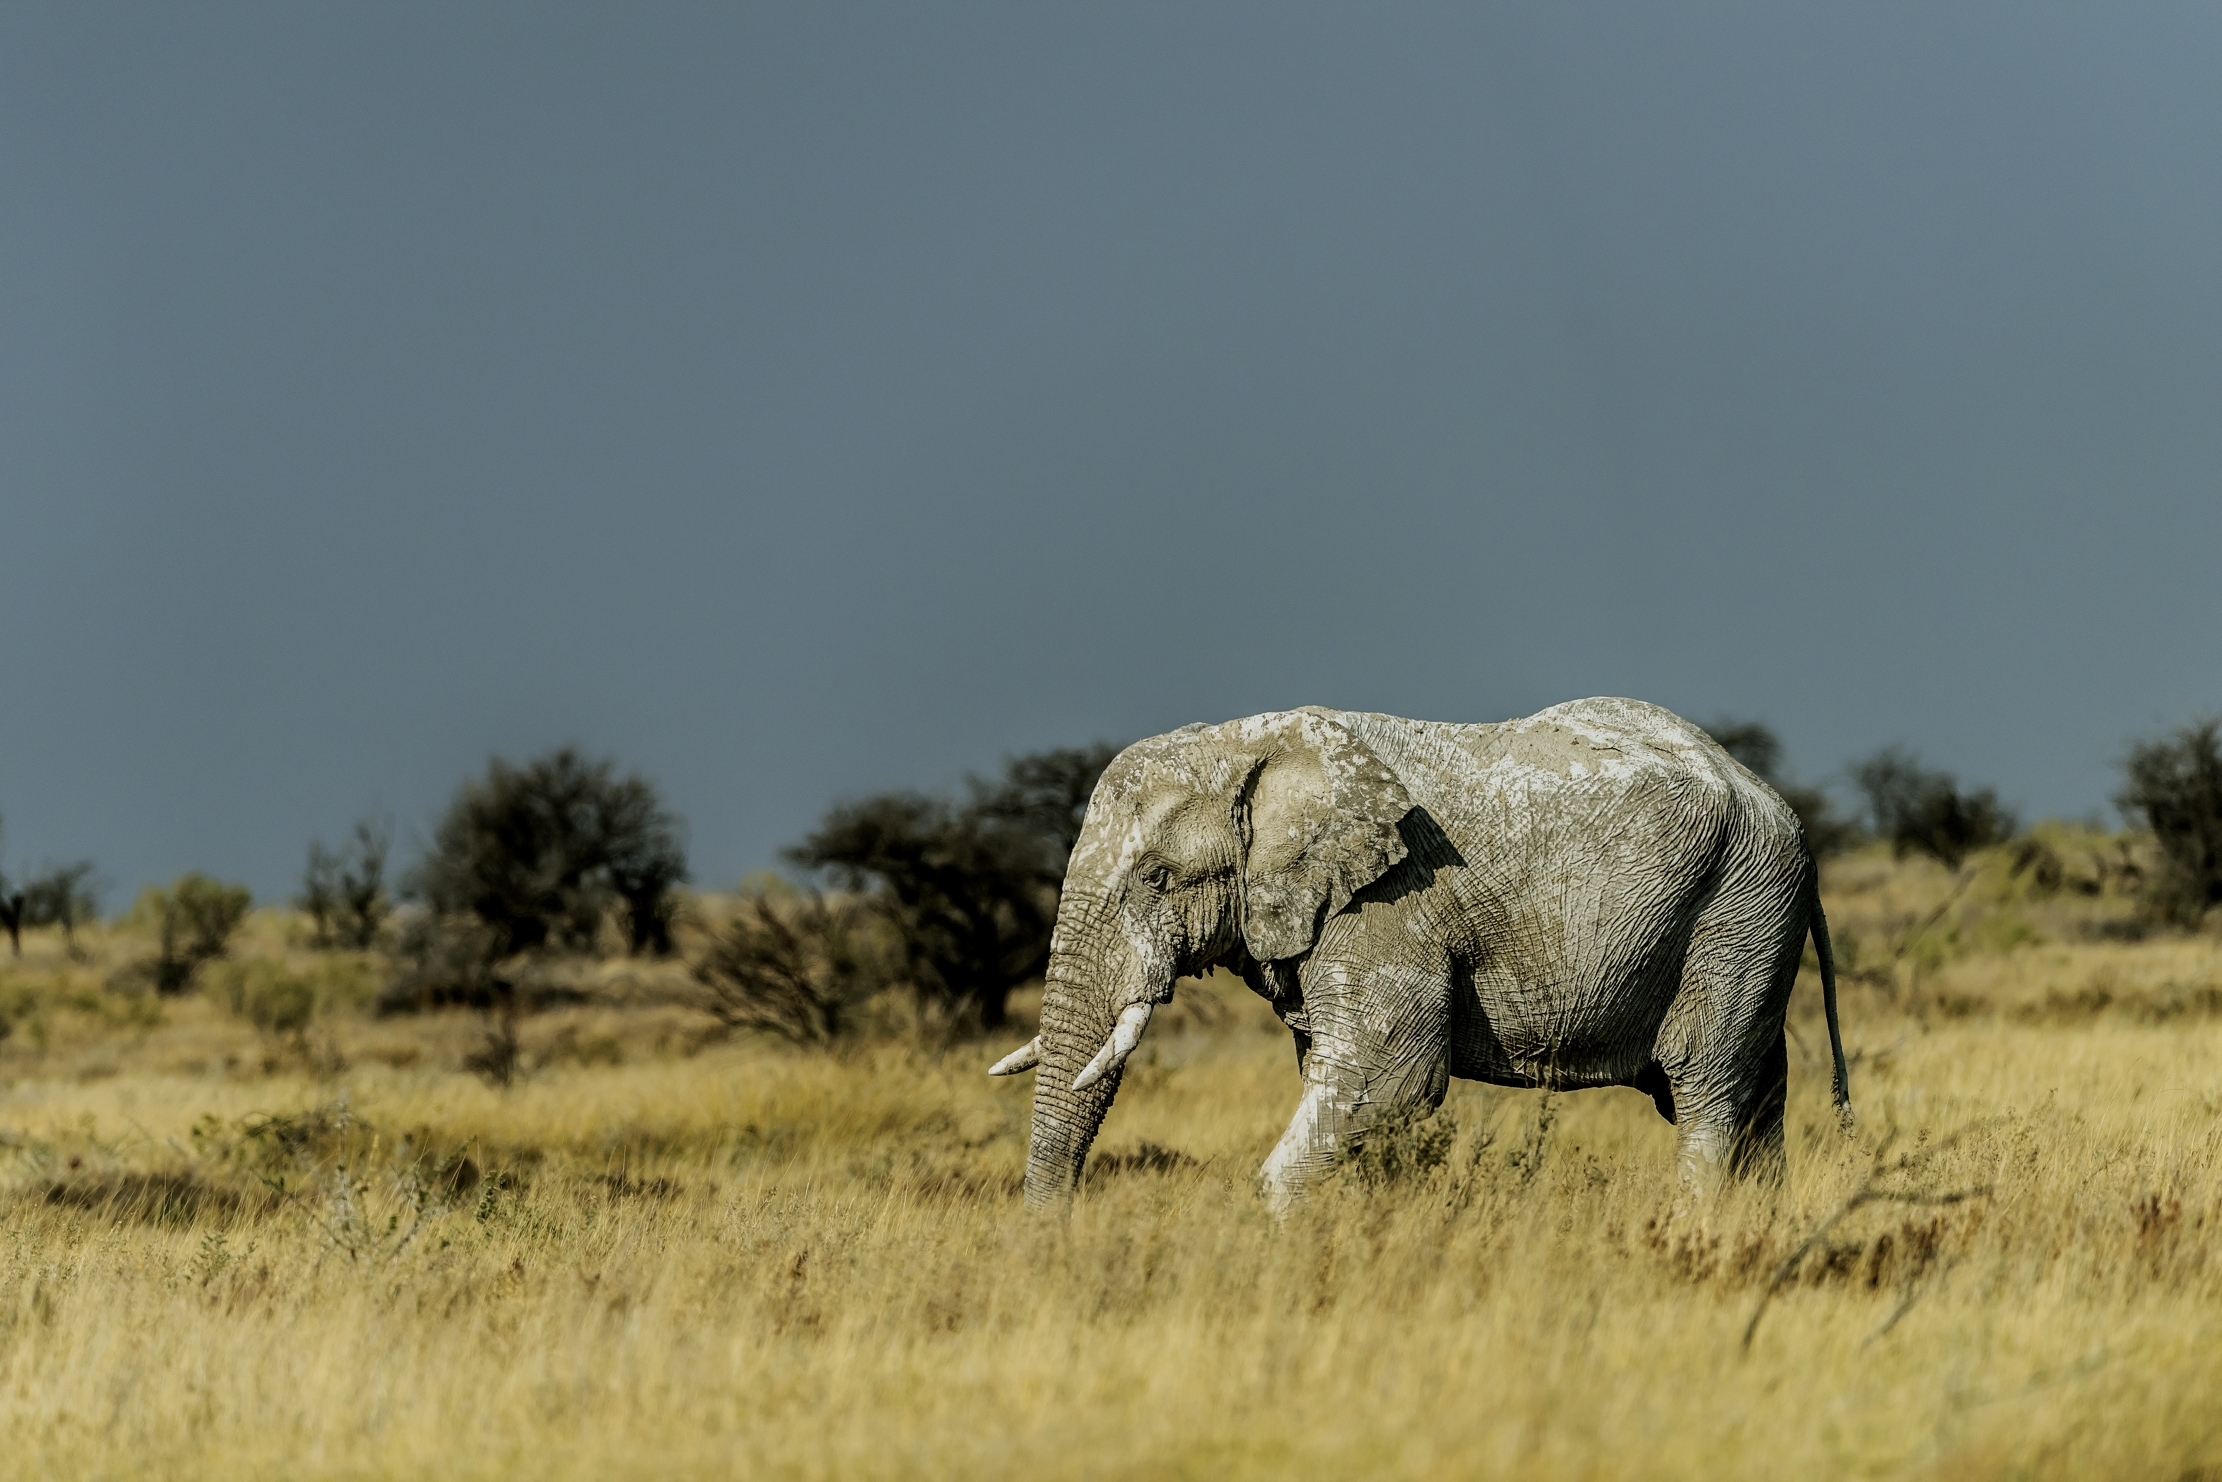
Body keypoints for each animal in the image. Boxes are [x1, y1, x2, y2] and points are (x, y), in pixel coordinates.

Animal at [987, 697, 1851, 1210]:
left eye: (1158, 879)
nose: (1056, 1242)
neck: (1252, 744)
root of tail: (1781, 807)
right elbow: (1347, 1086)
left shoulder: (1389, 905)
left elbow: (1391, 1079)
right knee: (1756, 1095)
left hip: (1740, 907)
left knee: (1703, 1087)